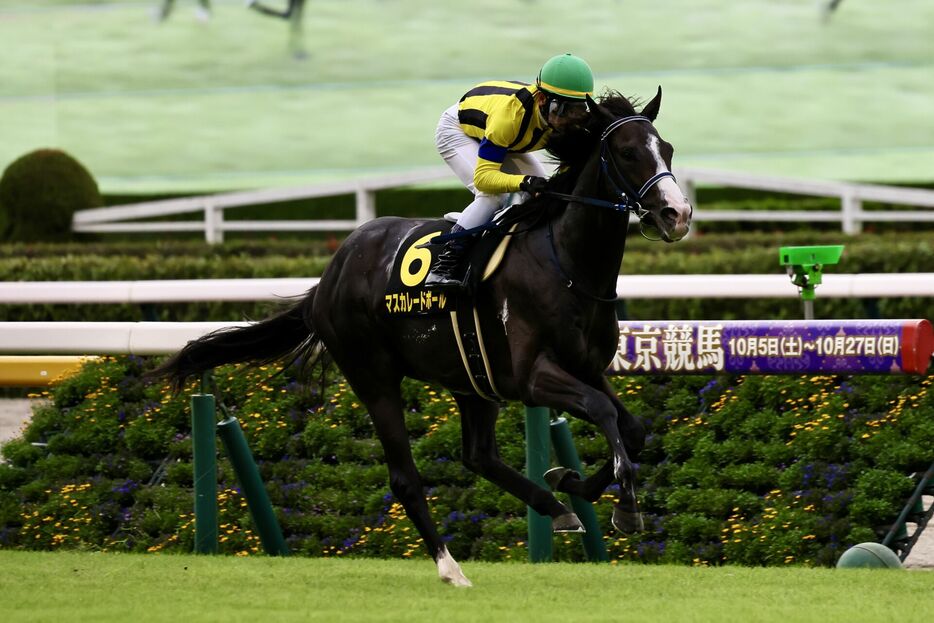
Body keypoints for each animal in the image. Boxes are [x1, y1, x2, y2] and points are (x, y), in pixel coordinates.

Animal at [150, 86, 696, 584]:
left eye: (667, 149)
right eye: (627, 152)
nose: (677, 214)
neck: (565, 261)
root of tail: (329, 278)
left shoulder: (585, 366)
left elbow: (632, 427)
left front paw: (572, 482)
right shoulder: (534, 376)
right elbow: (604, 413)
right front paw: (623, 502)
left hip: (472, 379)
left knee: (478, 456)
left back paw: (553, 507)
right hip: (374, 377)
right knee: (405, 479)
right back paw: (450, 567)